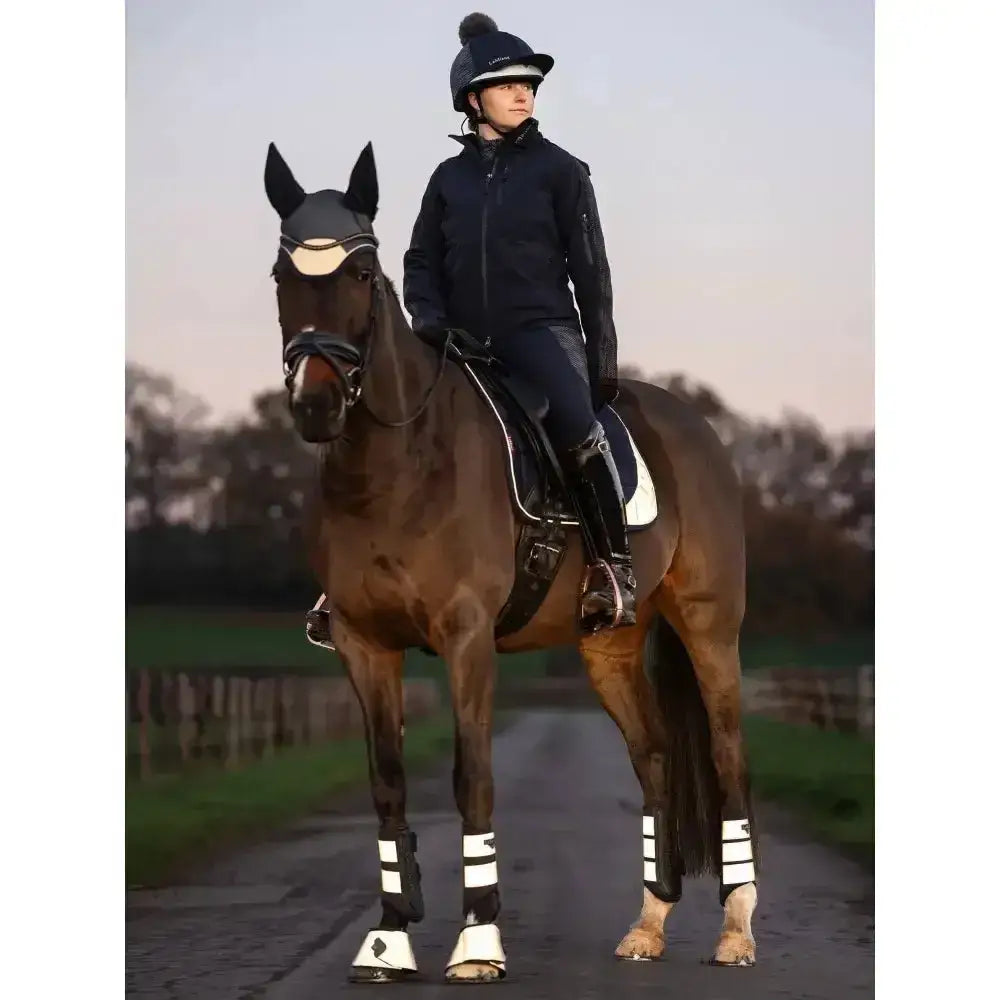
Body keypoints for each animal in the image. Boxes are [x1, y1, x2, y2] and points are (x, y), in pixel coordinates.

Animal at [262, 139, 759, 983]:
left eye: (360, 274)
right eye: (280, 275)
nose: (317, 404)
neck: (397, 465)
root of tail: (695, 426)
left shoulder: (466, 638)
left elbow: (474, 777)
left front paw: (478, 943)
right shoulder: (365, 645)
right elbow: (387, 782)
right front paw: (389, 939)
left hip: (708, 628)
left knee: (727, 758)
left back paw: (736, 932)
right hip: (611, 646)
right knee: (656, 758)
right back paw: (648, 925)